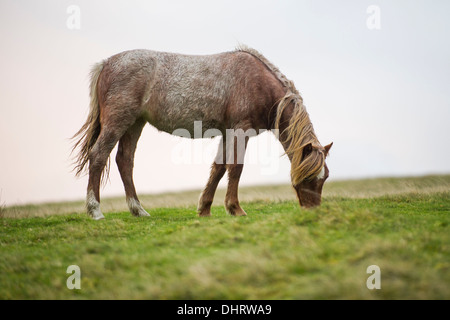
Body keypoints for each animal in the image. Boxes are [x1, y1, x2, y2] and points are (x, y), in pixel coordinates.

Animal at [72, 45, 332, 220]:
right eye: (310, 177)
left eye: (325, 177)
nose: (313, 211)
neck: (258, 82)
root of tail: (106, 63)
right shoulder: (241, 130)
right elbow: (235, 168)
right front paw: (235, 209)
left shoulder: (227, 133)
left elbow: (218, 168)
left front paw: (205, 209)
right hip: (118, 122)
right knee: (98, 156)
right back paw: (95, 211)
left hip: (135, 123)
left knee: (124, 160)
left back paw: (139, 210)